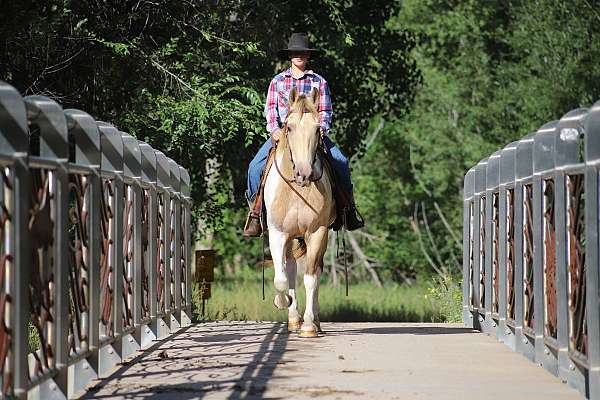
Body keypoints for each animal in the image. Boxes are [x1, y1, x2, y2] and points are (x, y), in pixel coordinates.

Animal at [264, 86, 336, 338]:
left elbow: (311, 278)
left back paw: (314, 321)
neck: (296, 190)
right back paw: (293, 318)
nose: (304, 173)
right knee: (290, 269)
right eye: (289, 127)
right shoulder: (277, 234)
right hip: (290, 238)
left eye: (317, 129)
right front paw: (282, 302)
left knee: (315, 271)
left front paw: (308, 326)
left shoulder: (317, 232)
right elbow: (281, 279)